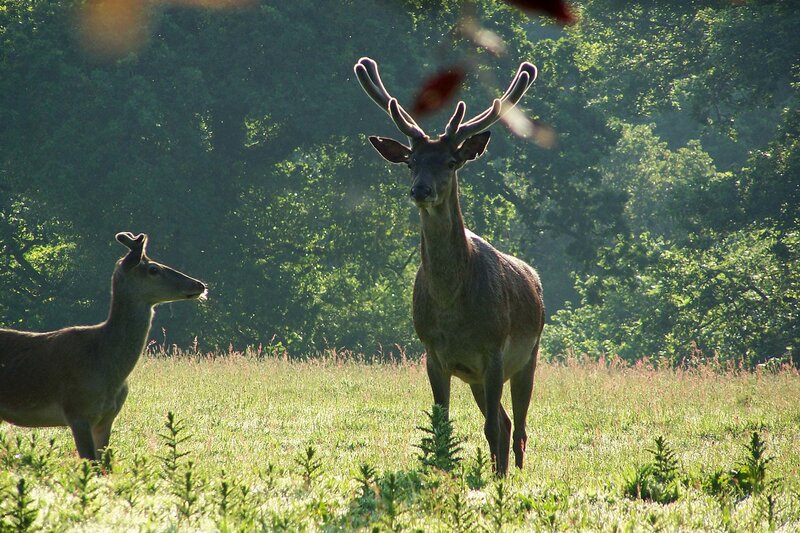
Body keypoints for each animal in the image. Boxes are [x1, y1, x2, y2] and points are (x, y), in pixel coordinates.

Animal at [354, 57, 545, 476]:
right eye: (410, 162)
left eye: (451, 161)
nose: (420, 190)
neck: (452, 309)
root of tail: (534, 276)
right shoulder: (433, 354)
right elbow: (441, 422)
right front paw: (440, 469)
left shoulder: (493, 350)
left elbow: (491, 427)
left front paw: (497, 479)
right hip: (475, 377)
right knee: (506, 420)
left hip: (529, 355)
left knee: (518, 425)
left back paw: (514, 471)